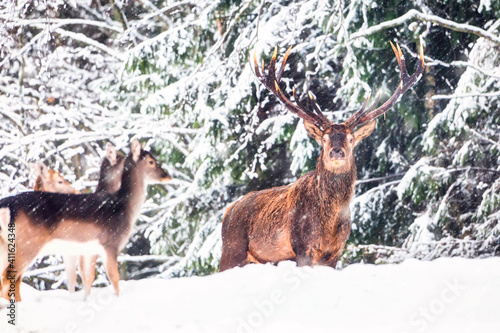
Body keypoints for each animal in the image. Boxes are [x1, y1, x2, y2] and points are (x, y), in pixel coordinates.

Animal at [0, 139, 171, 300]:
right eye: (151, 161)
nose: (167, 176)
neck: (123, 207)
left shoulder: (88, 250)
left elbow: (87, 279)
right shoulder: (110, 244)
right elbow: (114, 280)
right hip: (28, 244)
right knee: (9, 278)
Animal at [221, 42, 424, 270]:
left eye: (350, 138)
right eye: (325, 139)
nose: (337, 151)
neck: (330, 223)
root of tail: (228, 212)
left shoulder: (335, 252)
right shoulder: (302, 247)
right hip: (232, 249)